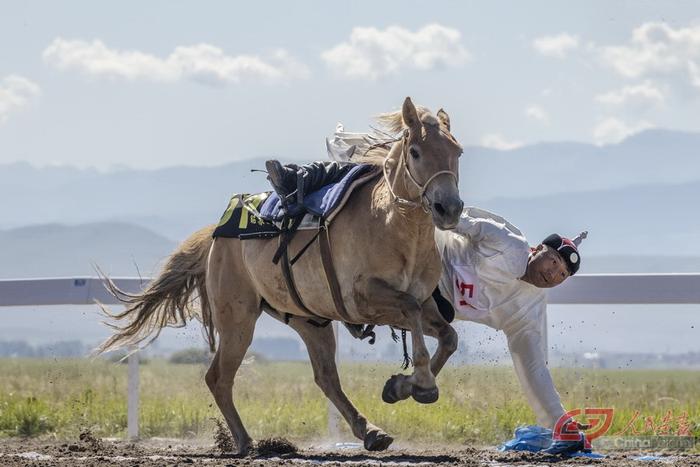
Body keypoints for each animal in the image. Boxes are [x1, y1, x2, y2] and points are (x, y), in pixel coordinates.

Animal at [97, 96, 460, 458]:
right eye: (415, 151)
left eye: (456, 151)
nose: (450, 208)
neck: (391, 224)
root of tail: (215, 236)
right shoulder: (365, 299)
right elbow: (412, 309)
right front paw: (422, 385)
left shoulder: (419, 303)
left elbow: (448, 336)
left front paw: (401, 386)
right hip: (238, 320)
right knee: (218, 377)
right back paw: (245, 441)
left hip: (309, 320)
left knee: (325, 376)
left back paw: (370, 431)